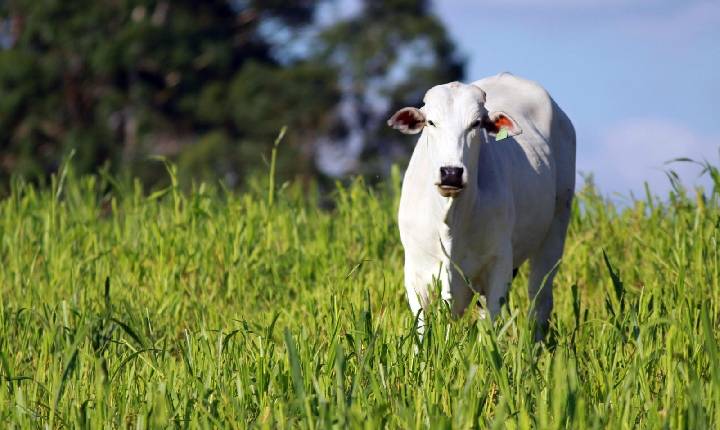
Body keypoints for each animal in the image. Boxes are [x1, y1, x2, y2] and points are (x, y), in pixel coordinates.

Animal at [388, 73, 572, 336]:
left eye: (476, 124)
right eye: (431, 122)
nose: (451, 173)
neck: (450, 219)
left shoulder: (499, 264)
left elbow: (492, 325)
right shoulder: (416, 271)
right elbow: (423, 328)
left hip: (556, 228)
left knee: (540, 300)